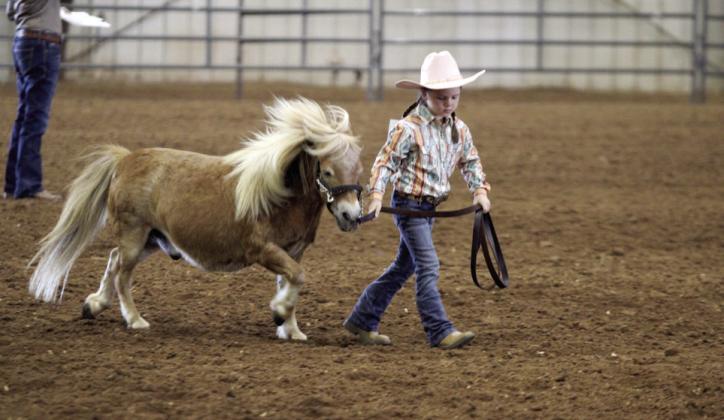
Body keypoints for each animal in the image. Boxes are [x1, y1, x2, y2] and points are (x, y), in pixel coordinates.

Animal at [28, 97, 363, 341]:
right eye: (328, 171)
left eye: (358, 169)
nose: (352, 215)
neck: (278, 195)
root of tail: (124, 160)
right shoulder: (264, 250)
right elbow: (297, 278)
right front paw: (279, 313)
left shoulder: (292, 251)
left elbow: (291, 281)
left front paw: (290, 329)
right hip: (135, 234)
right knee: (122, 273)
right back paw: (135, 320)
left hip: (152, 239)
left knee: (112, 260)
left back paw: (94, 305)